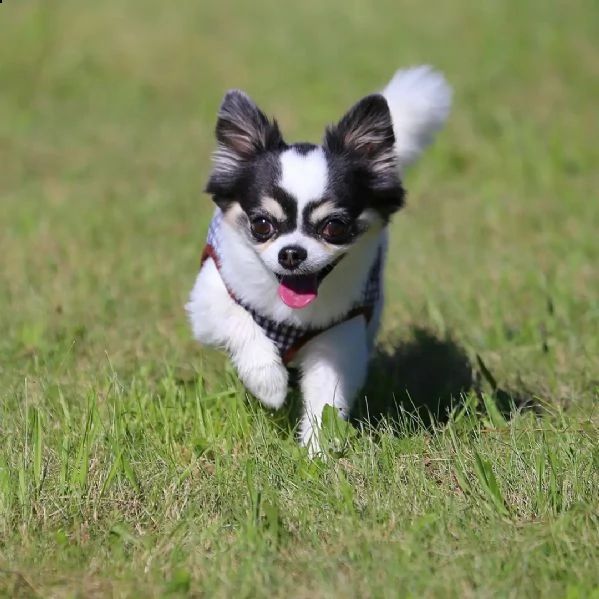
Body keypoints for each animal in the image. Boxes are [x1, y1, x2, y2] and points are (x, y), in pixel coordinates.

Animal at [185, 64, 452, 454]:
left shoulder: (339, 334)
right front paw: (269, 383)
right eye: (262, 225)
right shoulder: (208, 298)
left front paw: (319, 450)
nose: (292, 252)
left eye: (334, 227)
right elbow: (240, 320)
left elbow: (327, 396)